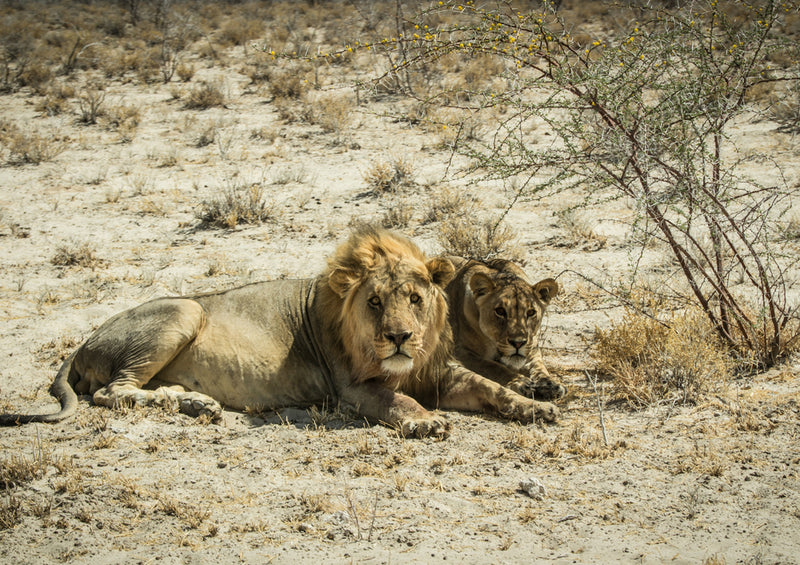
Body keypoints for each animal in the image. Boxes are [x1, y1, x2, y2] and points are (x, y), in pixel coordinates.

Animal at [446, 256, 564, 400]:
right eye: (500, 311)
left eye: (531, 312)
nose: (518, 343)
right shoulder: (461, 351)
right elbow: (493, 367)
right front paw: (520, 382)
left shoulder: (533, 347)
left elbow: (538, 366)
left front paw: (549, 384)